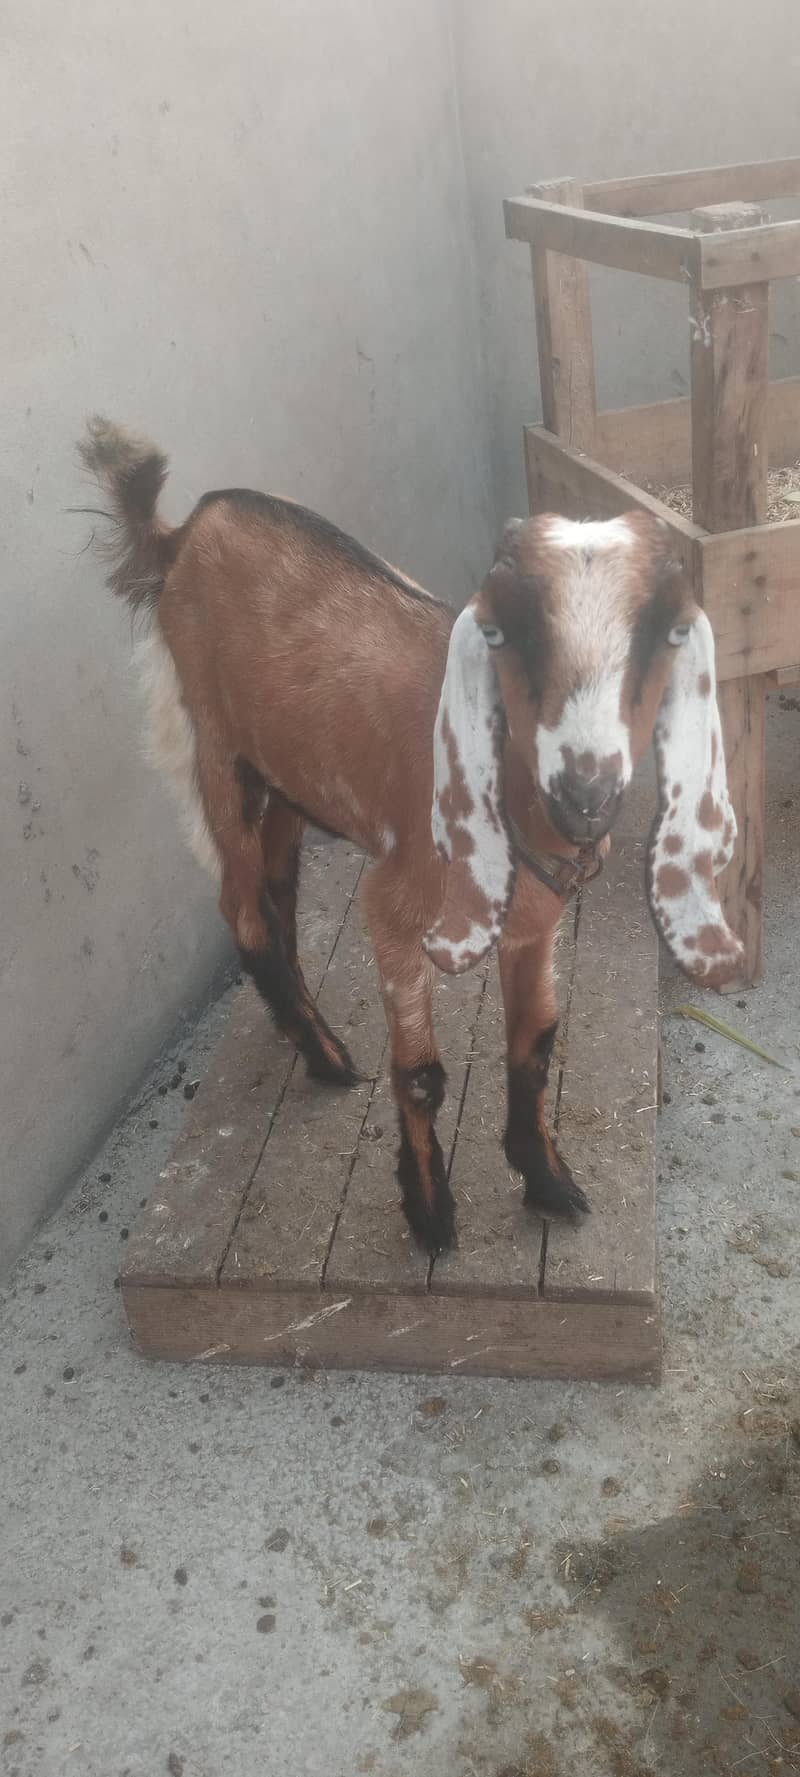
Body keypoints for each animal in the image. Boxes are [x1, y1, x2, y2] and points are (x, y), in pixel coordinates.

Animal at [79, 419, 743, 1253]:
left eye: (669, 632)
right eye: (506, 630)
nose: (584, 792)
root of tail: (184, 529)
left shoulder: (536, 926)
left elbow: (533, 1046)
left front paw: (546, 1180)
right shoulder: (394, 913)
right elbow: (422, 1074)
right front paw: (430, 1213)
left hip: (291, 770)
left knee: (276, 890)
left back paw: (301, 1028)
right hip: (216, 746)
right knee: (241, 905)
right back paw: (327, 1055)